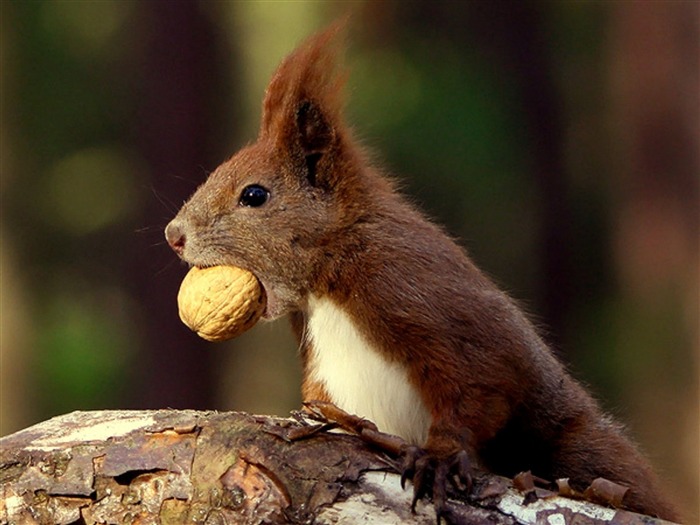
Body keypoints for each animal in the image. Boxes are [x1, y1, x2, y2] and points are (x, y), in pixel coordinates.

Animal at [164, 23, 680, 520]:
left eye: (254, 196)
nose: (174, 235)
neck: (328, 277)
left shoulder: (412, 290)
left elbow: (480, 382)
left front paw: (440, 456)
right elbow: (323, 403)